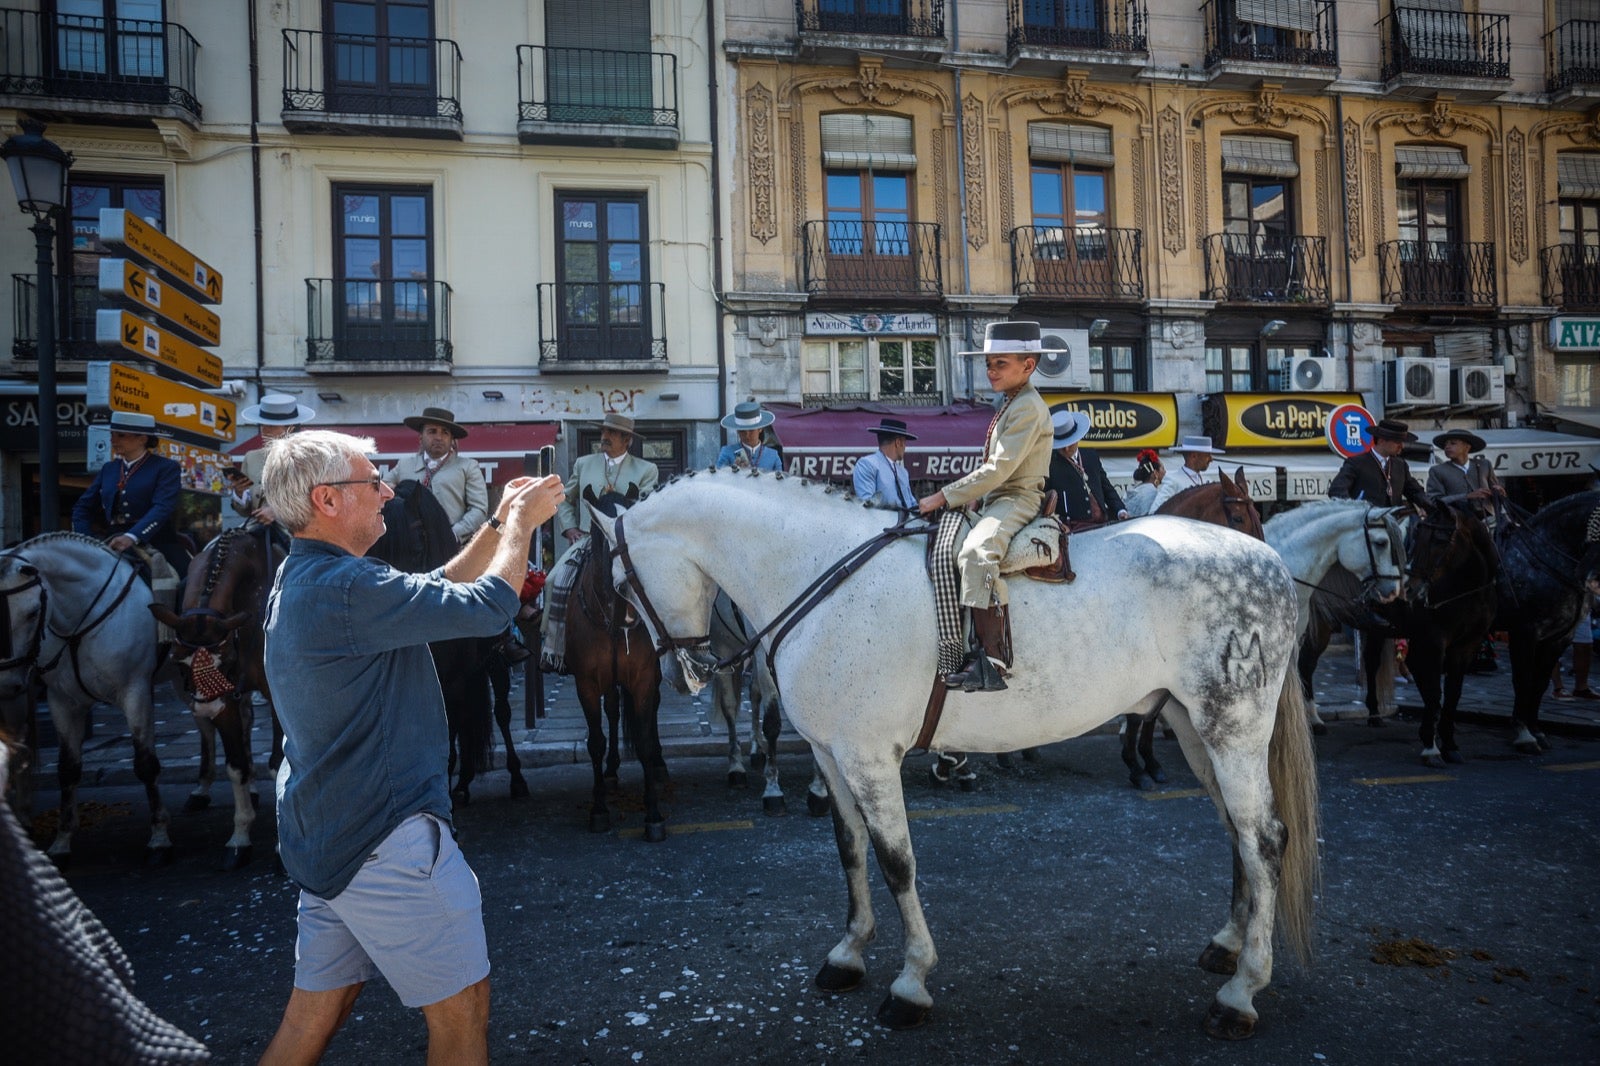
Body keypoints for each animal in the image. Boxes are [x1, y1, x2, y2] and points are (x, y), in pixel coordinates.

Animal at [0, 531, 172, 857]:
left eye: (32, 612)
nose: (8, 682)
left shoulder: (136, 693)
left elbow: (145, 764)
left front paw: (158, 837)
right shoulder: (62, 702)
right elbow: (68, 769)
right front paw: (62, 840)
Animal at [151, 521, 283, 864]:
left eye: (226, 659)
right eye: (177, 661)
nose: (206, 710)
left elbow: (280, 762)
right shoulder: (225, 703)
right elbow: (235, 766)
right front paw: (240, 837)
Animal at [366, 476, 524, 800]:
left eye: (417, 547)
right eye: (375, 549)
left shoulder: (454, 681)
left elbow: (451, 727)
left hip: (495, 664)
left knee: (500, 713)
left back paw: (513, 777)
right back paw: (463, 781)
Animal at [566, 486, 665, 845]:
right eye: (600, 534)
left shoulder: (644, 678)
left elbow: (646, 739)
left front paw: (653, 814)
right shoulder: (586, 683)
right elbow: (595, 742)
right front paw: (598, 810)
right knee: (611, 711)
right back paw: (610, 770)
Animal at [604, 470, 1318, 1030]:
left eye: (618, 584)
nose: (683, 676)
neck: (818, 572)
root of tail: (1270, 563)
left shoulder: (869, 758)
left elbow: (896, 863)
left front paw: (910, 982)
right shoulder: (832, 756)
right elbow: (850, 851)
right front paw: (848, 953)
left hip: (1232, 728)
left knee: (1265, 839)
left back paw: (1242, 992)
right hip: (1193, 726)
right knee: (1236, 831)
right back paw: (1227, 946)